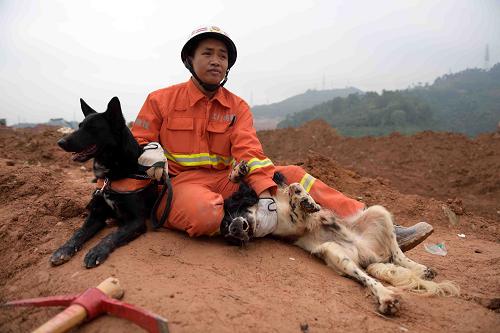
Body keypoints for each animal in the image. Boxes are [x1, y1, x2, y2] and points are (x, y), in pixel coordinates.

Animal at [50, 96, 156, 268]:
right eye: (79, 126)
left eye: (92, 128)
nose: (60, 142)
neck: (111, 176)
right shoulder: (96, 215)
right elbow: (79, 232)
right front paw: (63, 249)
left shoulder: (136, 221)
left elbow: (113, 235)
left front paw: (96, 252)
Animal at [221, 161, 458, 314]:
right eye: (225, 231)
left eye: (229, 216)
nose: (235, 229)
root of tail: (369, 257)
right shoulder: (294, 225)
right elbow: (295, 200)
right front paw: (303, 201)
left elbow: (292, 186)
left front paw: (238, 171)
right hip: (336, 253)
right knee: (369, 277)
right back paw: (387, 298)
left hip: (378, 211)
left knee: (397, 255)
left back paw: (422, 269)